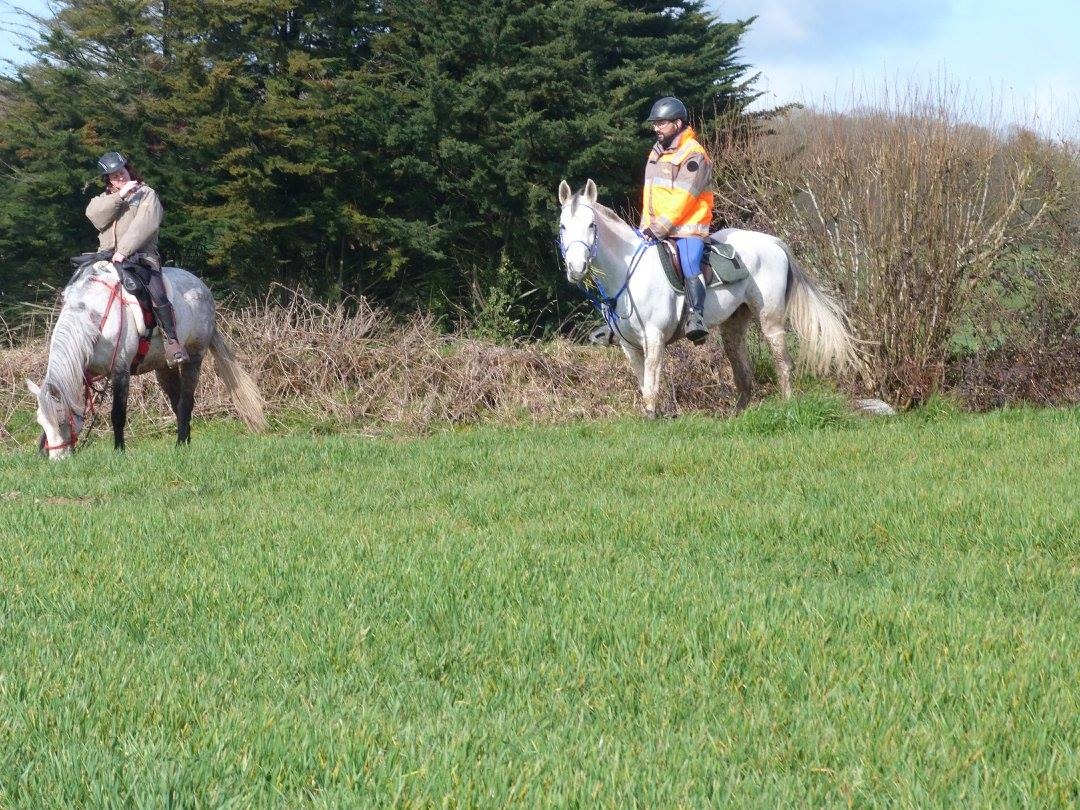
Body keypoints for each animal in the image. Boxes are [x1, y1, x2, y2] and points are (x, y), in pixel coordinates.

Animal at [26, 261, 266, 459]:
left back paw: (180, 444)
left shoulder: (120, 371)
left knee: (186, 401)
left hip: (194, 358)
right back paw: (185, 441)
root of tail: (202, 287)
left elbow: (118, 414)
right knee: (177, 402)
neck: (94, 318)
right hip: (164, 368)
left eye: (61, 420)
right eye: (41, 421)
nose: (58, 460)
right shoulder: (84, 375)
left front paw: (119, 451)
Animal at [558, 179, 860, 416]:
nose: (576, 268)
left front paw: (652, 420)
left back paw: (787, 406)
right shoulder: (629, 346)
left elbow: (651, 387)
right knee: (743, 372)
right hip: (733, 324)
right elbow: (643, 385)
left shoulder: (654, 338)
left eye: (591, 225)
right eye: (562, 227)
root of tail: (774, 242)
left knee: (782, 363)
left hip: (770, 320)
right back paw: (736, 416)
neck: (628, 274)